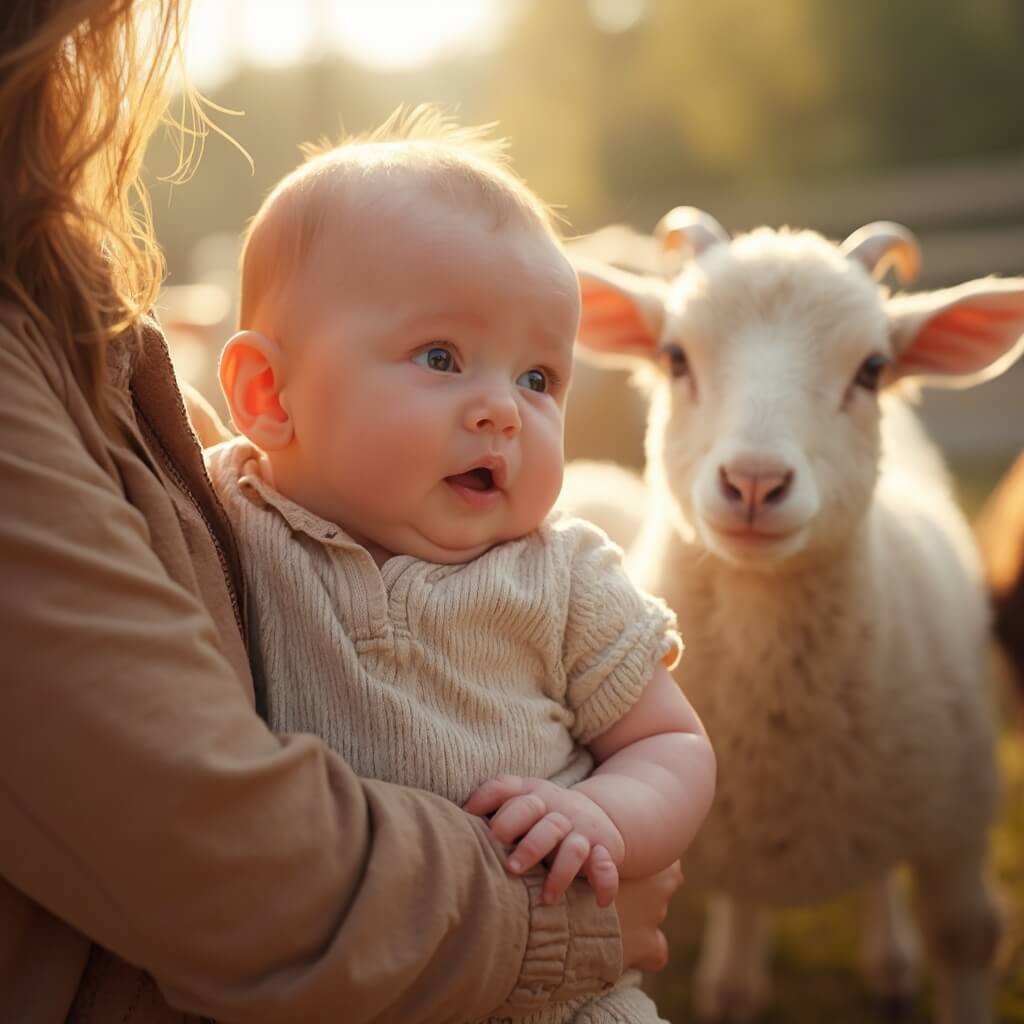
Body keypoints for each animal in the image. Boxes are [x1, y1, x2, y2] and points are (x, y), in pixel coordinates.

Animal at [565, 210, 1024, 1024]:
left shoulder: (957, 828)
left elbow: (966, 936)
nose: (754, 482)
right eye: (674, 356)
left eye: (872, 368)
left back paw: (890, 960)